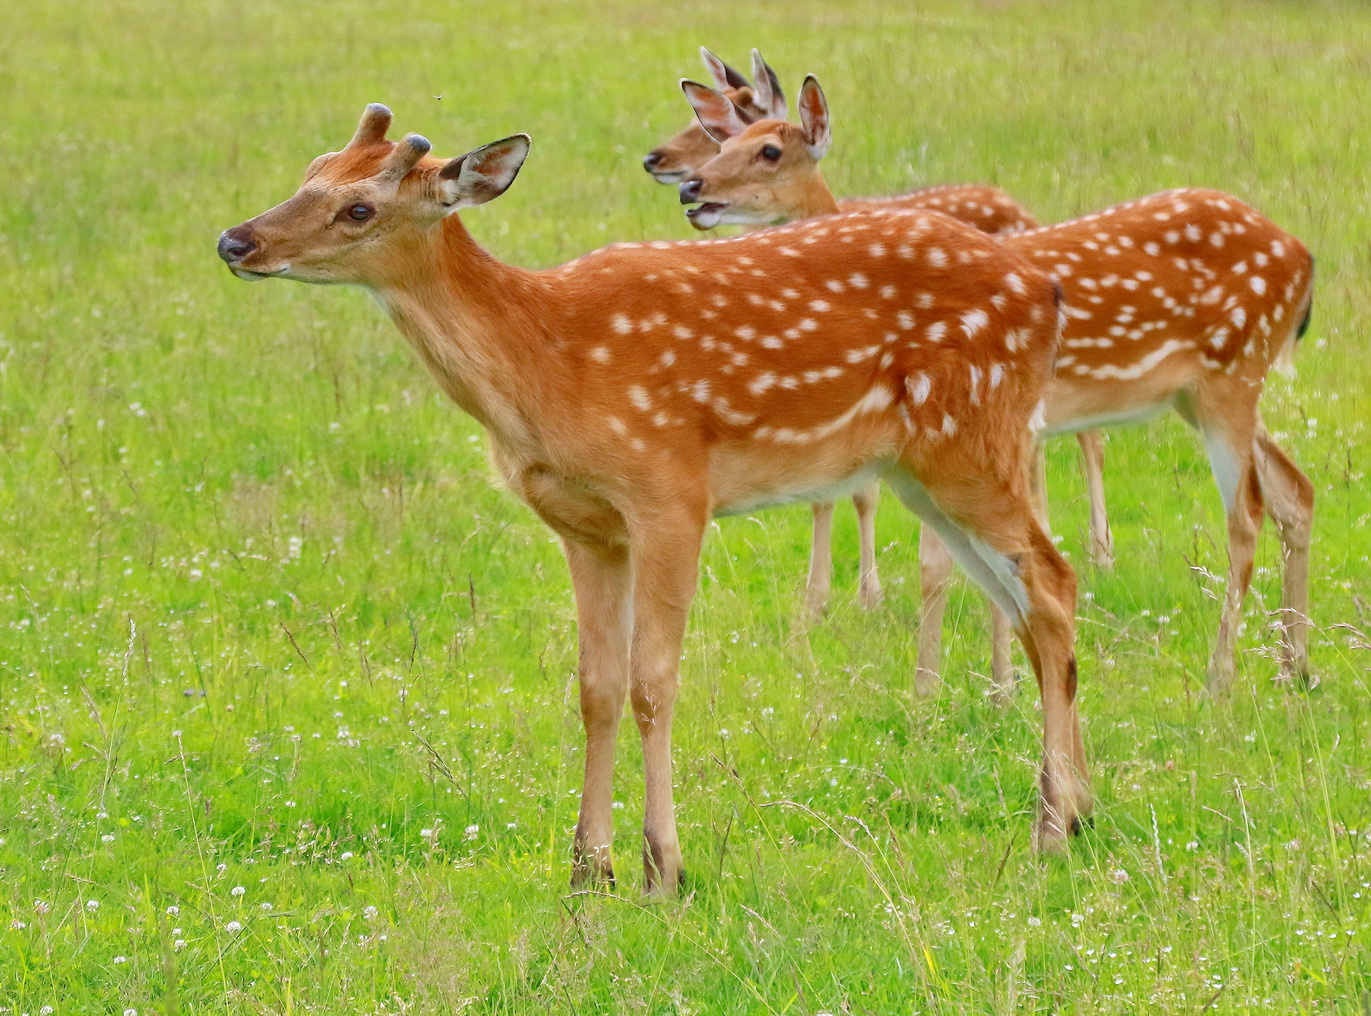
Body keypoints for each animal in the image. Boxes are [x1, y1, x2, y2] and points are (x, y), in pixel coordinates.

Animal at [213, 102, 1091, 893]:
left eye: (359, 206)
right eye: (311, 170)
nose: (235, 241)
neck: (545, 367)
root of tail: (1044, 288)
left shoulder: (669, 491)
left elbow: (652, 681)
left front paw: (661, 867)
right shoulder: (584, 525)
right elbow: (595, 688)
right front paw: (586, 868)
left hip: (971, 437)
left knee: (1052, 578)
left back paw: (1051, 831)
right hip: (922, 466)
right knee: (1024, 597)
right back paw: (1075, 812)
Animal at [649, 51, 1113, 622]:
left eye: (769, 149)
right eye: (724, 142)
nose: (682, 179)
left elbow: (854, 494)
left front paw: (848, 599)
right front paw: (827, 602)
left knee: (1083, 433)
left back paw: (1098, 551)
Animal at [685, 77, 1316, 696]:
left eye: (770, 151)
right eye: (723, 143)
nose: (693, 186)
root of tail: (1304, 258)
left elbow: (940, 564)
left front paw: (939, 687)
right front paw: (998, 680)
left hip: (1233, 373)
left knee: (1246, 516)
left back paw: (1221, 676)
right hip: (1202, 391)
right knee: (1295, 491)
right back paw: (1294, 667)